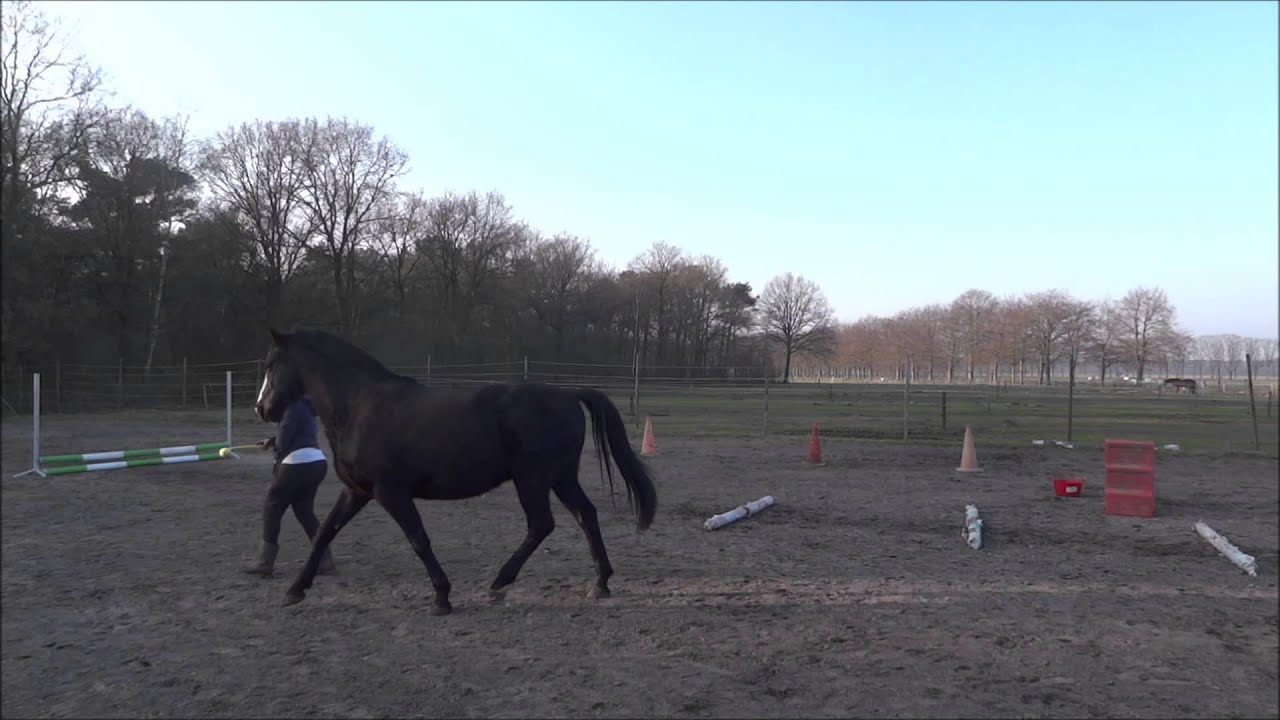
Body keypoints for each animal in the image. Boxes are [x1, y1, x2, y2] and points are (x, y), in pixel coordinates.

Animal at [253, 328, 658, 615]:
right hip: (561, 478)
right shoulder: (357, 491)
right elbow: (324, 533)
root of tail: (568, 394)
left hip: (533, 480)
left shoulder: (391, 492)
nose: (262, 408)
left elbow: (419, 539)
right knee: (585, 515)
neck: (360, 406)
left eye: (271, 364)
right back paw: (600, 583)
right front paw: (295, 590)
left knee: (542, 524)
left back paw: (500, 584)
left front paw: (442, 597)